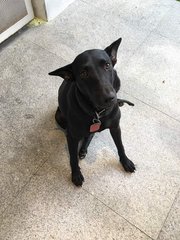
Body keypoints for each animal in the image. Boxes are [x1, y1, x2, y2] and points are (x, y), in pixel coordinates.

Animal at [48, 38, 136, 187]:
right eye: (83, 74)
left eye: (107, 65)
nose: (110, 98)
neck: (98, 112)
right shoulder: (72, 136)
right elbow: (72, 157)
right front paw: (76, 174)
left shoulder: (115, 127)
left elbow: (120, 146)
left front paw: (125, 161)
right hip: (59, 116)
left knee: (91, 134)